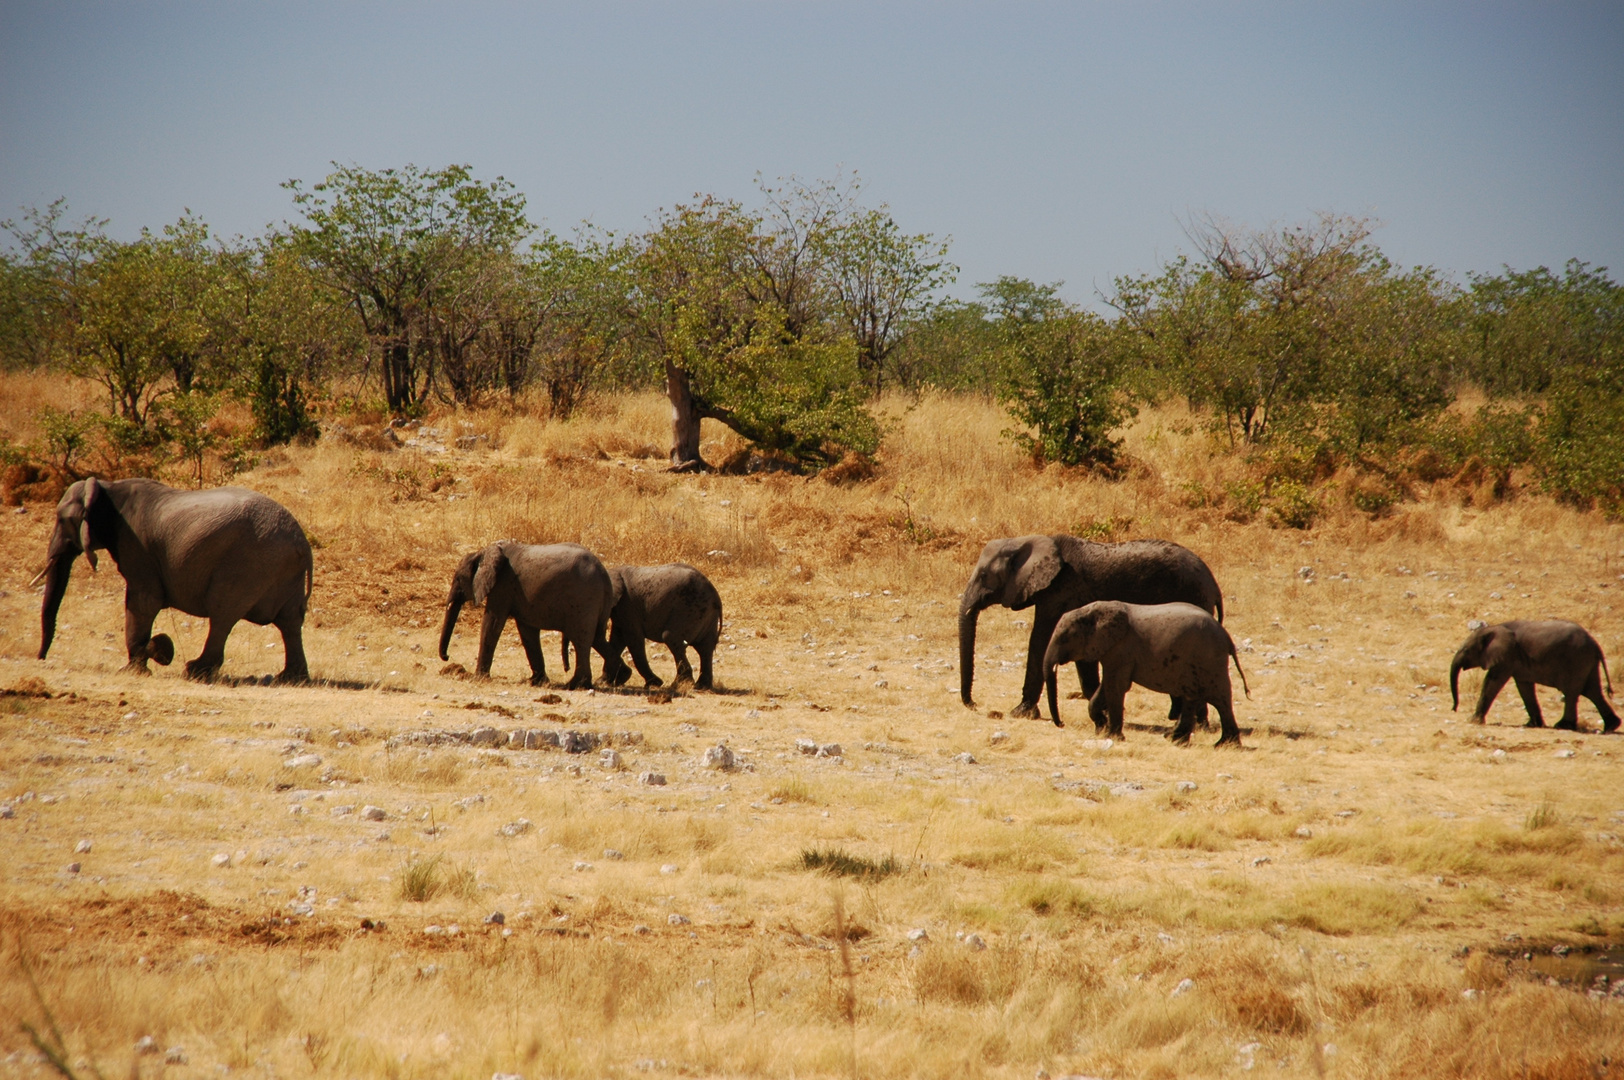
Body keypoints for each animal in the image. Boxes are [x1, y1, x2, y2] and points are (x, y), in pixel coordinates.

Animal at [34, 477, 311, 678]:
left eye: (62, 519)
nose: (40, 658)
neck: (107, 487)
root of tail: (302, 542)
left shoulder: (137, 548)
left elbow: (142, 602)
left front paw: (138, 666)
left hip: (249, 565)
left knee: (223, 614)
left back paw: (195, 671)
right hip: (282, 570)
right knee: (289, 621)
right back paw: (289, 678)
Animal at [441, 539, 610, 691]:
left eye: (458, 578)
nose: (447, 657)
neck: (482, 552)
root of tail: (603, 572)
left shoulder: (502, 586)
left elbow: (492, 623)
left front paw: (478, 678)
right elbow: (527, 631)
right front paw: (536, 682)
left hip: (584, 600)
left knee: (581, 640)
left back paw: (575, 685)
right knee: (597, 638)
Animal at [954, 535, 1221, 721]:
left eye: (984, 575)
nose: (975, 705)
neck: (1027, 541)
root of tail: (1213, 584)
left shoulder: (1062, 591)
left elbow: (1040, 640)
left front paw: (1019, 713)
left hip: (1193, 594)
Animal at [1045, 600, 1247, 747]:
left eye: (1064, 638)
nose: (1061, 724)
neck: (1092, 610)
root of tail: (1227, 638)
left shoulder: (1121, 649)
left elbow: (1115, 686)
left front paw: (1113, 736)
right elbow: (1107, 686)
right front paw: (1100, 727)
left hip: (1210, 661)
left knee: (1220, 700)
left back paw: (1223, 745)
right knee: (1196, 697)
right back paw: (1179, 740)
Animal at [1455, 613, 1617, 734]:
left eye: (1466, 650)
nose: (1454, 708)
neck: (1495, 627)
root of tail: (1595, 644)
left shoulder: (1507, 655)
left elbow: (1493, 682)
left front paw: (1473, 721)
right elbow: (1524, 687)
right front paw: (1532, 725)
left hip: (1577, 660)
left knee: (1572, 692)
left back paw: (1563, 726)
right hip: (1587, 661)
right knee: (1592, 692)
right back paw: (1611, 727)